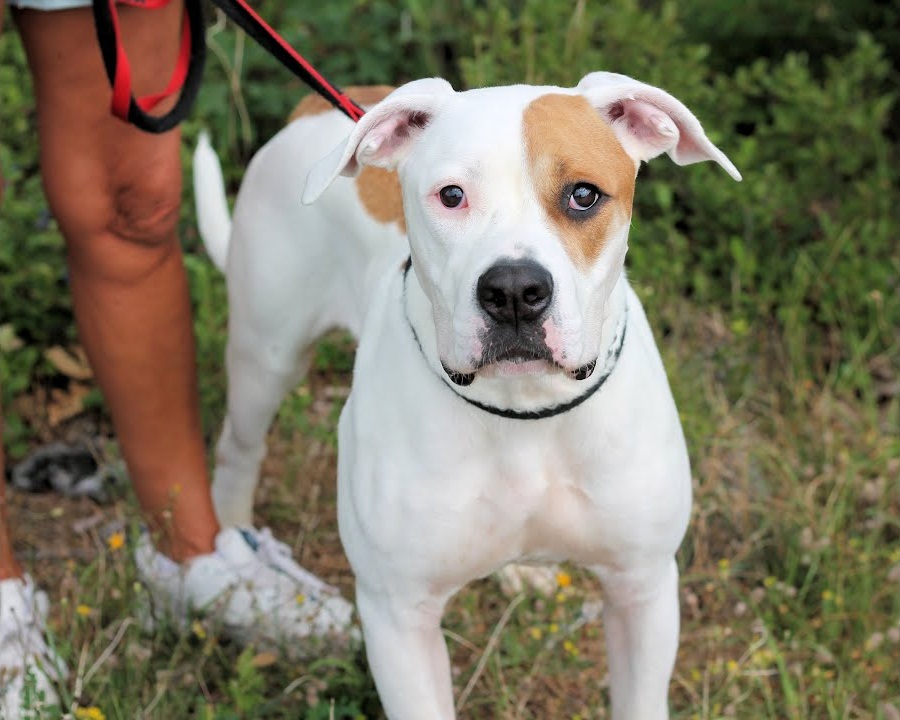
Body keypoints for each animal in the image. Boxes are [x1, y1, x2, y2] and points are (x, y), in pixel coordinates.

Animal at [195, 73, 740, 720]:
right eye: (451, 196)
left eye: (584, 195)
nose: (515, 291)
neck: (524, 407)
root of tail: (315, 105)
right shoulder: (397, 617)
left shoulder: (643, 589)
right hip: (266, 355)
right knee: (238, 450)